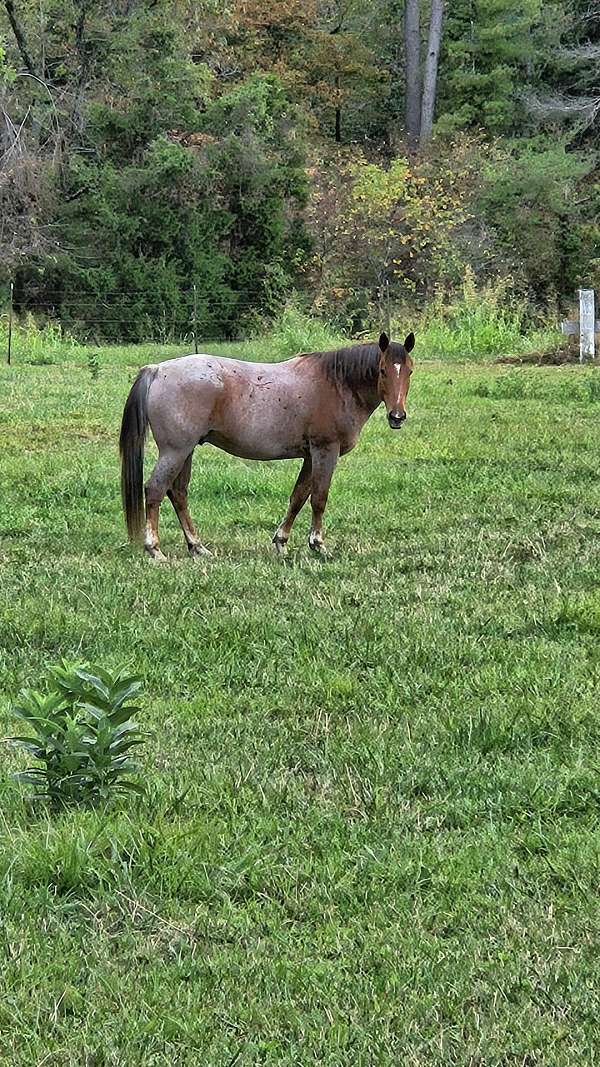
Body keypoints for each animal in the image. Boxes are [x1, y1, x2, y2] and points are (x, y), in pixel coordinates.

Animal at [119, 330, 415, 559]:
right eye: (383, 370)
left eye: (409, 371)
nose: (397, 416)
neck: (337, 384)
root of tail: (157, 370)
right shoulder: (325, 451)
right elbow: (319, 498)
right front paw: (318, 544)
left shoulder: (310, 456)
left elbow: (298, 497)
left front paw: (281, 542)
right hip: (175, 451)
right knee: (155, 490)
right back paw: (155, 549)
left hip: (186, 451)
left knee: (178, 493)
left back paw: (197, 547)